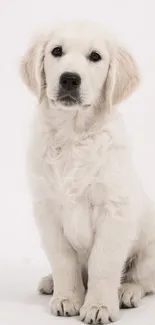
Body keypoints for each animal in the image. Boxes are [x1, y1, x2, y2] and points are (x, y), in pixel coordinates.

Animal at [20, 20, 155, 324]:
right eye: (56, 51)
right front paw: (67, 297)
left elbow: (103, 263)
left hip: (149, 248)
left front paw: (98, 305)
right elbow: (63, 260)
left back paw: (126, 292)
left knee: (143, 278)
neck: (73, 135)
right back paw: (50, 283)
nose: (70, 79)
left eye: (95, 56)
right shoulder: (47, 211)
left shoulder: (113, 211)